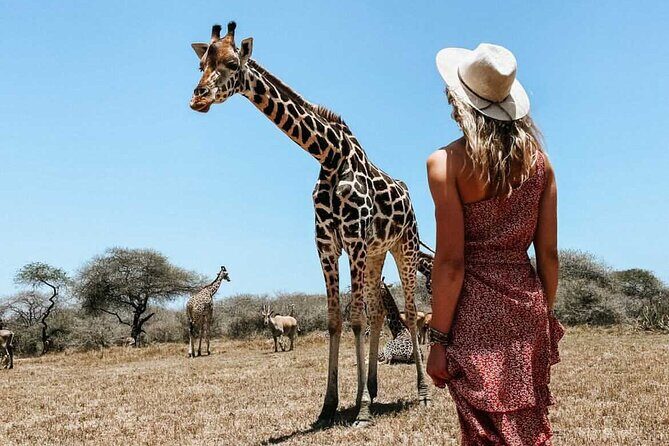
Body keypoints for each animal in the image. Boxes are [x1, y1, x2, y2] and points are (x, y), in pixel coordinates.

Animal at [189, 22, 429, 426]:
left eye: (232, 63)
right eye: (200, 64)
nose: (197, 98)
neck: (329, 155)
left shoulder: (354, 240)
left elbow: (355, 318)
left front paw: (362, 409)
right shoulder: (327, 243)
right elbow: (335, 319)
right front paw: (330, 406)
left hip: (405, 246)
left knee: (410, 312)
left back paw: (422, 393)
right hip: (377, 253)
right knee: (380, 311)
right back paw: (373, 388)